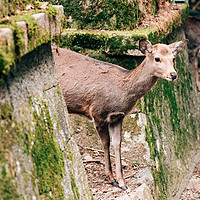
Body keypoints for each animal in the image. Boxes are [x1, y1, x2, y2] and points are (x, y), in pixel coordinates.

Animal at [52, 38, 188, 190]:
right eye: (157, 58)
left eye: (173, 58)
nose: (173, 74)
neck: (121, 92)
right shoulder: (98, 113)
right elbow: (106, 143)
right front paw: (111, 178)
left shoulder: (118, 117)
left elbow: (117, 144)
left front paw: (122, 182)